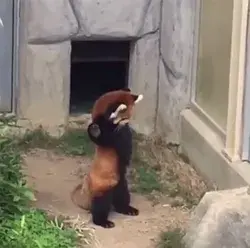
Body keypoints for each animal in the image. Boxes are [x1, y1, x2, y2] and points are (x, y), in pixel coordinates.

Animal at [71, 88, 144, 229]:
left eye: (128, 118)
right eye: (124, 118)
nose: (127, 123)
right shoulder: (105, 134)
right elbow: (99, 135)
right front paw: (95, 130)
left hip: (121, 183)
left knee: (122, 197)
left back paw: (127, 208)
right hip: (102, 188)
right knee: (101, 205)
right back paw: (103, 221)